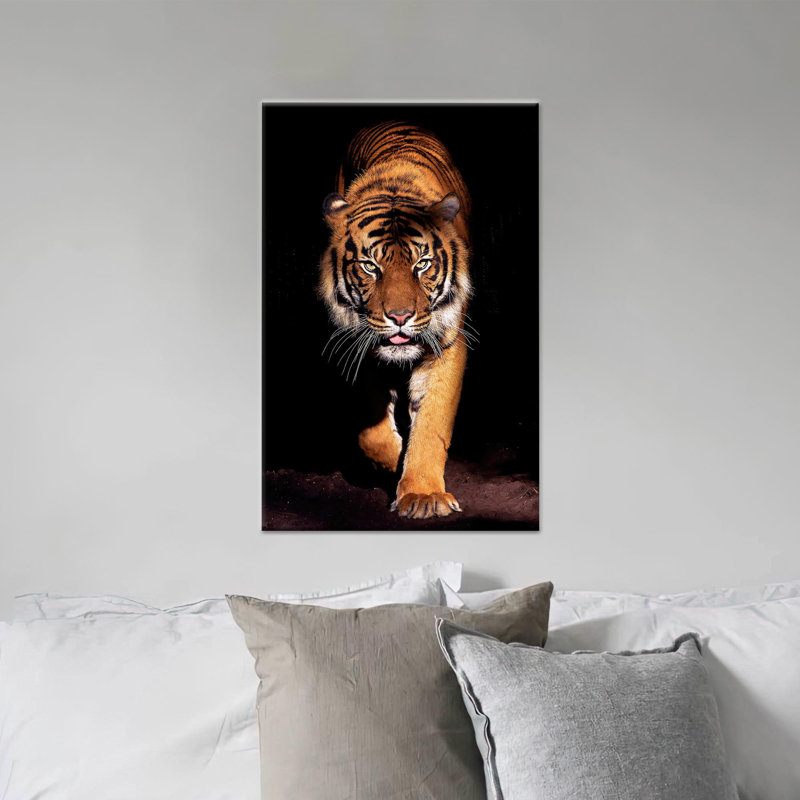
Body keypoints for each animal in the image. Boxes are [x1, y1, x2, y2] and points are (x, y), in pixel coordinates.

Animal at [318, 121, 473, 519]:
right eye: (371, 266)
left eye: (423, 264)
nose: (400, 317)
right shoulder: (356, 342)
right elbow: (370, 427)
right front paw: (390, 461)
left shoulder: (447, 343)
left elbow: (432, 423)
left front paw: (423, 495)